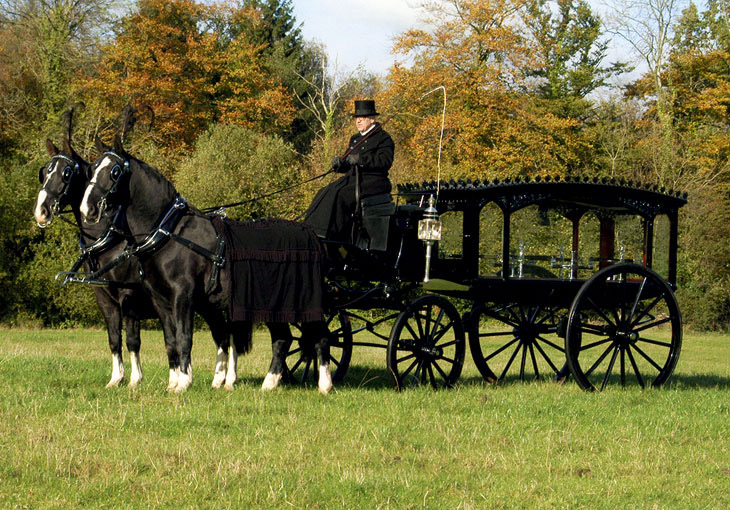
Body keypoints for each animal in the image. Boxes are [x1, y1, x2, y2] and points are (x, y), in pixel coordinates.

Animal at [79, 135, 333, 394]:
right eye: (92, 169)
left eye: (115, 171)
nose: (87, 209)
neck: (169, 234)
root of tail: (310, 235)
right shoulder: (161, 302)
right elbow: (171, 341)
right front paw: (174, 383)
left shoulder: (183, 297)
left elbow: (184, 338)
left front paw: (183, 383)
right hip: (272, 307)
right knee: (282, 339)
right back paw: (268, 384)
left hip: (304, 303)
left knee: (320, 335)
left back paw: (324, 384)